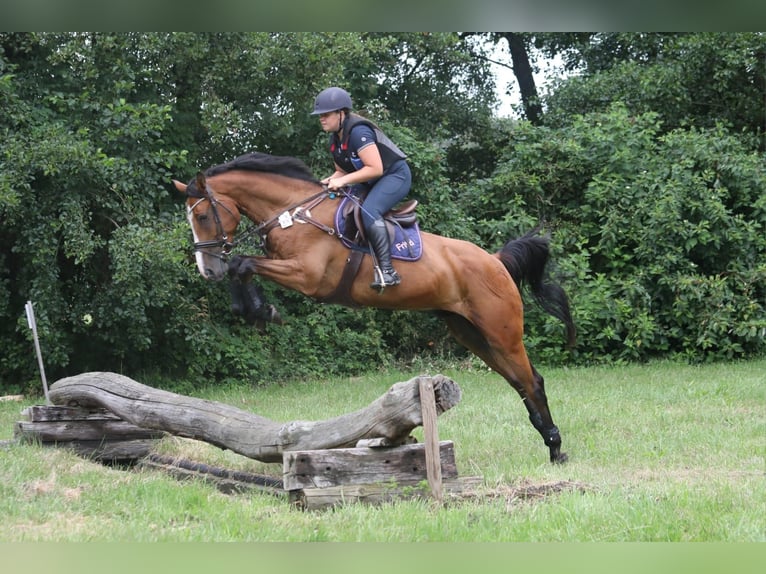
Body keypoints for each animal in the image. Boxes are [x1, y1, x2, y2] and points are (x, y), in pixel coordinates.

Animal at [174, 152, 576, 464]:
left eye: (204, 216)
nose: (207, 270)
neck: (295, 214)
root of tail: (495, 261)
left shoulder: (308, 277)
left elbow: (242, 263)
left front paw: (260, 310)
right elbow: (240, 266)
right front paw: (252, 309)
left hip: (501, 331)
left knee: (532, 381)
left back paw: (556, 448)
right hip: (471, 333)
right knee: (517, 381)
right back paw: (549, 441)